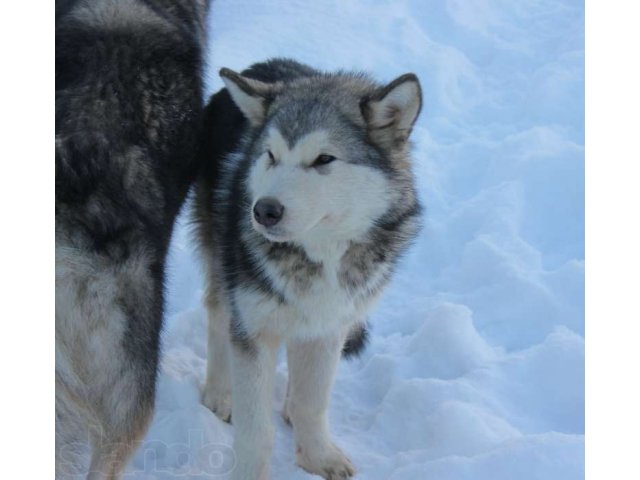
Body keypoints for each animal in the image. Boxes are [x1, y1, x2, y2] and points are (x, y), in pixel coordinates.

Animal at [195, 60, 424, 480]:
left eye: (323, 159)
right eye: (270, 155)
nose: (263, 211)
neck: (319, 255)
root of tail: (264, 63)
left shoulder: (331, 324)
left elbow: (312, 402)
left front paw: (317, 456)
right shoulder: (253, 328)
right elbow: (256, 430)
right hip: (223, 265)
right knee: (218, 316)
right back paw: (220, 392)